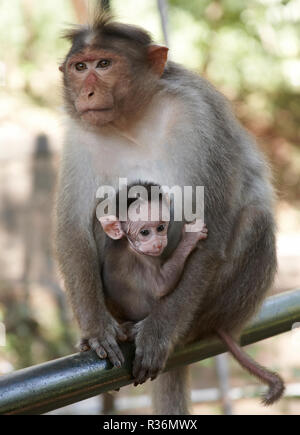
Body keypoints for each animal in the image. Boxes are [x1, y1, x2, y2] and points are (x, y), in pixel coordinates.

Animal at [98, 188, 206, 324]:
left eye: (160, 228)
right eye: (144, 232)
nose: (158, 243)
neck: (128, 244)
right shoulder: (134, 262)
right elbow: (161, 286)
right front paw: (190, 236)